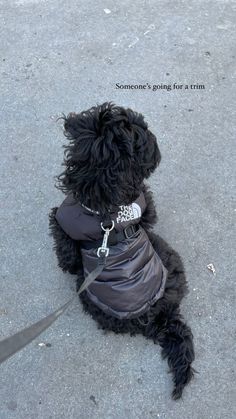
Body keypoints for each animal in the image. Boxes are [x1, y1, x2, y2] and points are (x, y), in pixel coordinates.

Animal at [48, 102, 195, 400]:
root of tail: (161, 319)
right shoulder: (145, 208)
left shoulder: (64, 225)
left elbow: (66, 256)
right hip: (170, 259)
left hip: (88, 291)